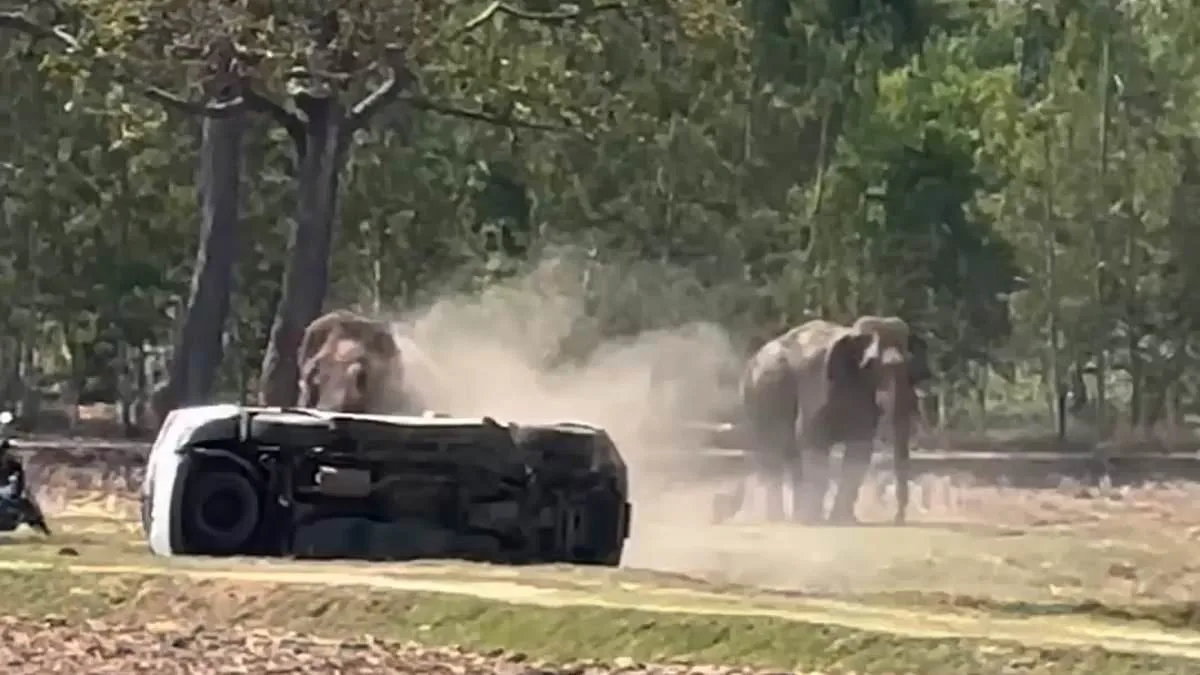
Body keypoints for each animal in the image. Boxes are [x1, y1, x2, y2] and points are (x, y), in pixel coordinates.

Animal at [713, 316, 929, 526]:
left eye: (910, 363)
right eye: (875, 364)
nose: (898, 519)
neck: (851, 333)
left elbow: (860, 445)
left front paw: (844, 521)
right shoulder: (815, 378)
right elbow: (812, 436)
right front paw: (816, 520)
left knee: (789, 454)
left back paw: (794, 516)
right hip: (756, 397)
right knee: (771, 451)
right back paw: (781, 519)